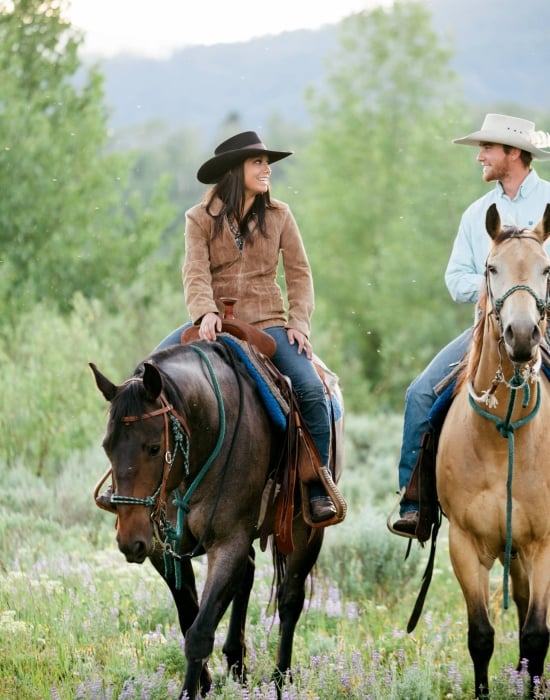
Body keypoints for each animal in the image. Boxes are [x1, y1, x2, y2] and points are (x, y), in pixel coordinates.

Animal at [90, 330, 344, 700]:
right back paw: (237, 665)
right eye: (107, 446)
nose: (130, 540)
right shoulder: (163, 550)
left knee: (290, 600)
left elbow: (199, 632)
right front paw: (205, 683)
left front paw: (190, 691)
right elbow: (189, 618)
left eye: (154, 447)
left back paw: (281, 679)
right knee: (248, 575)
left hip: (306, 530)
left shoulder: (227, 542)